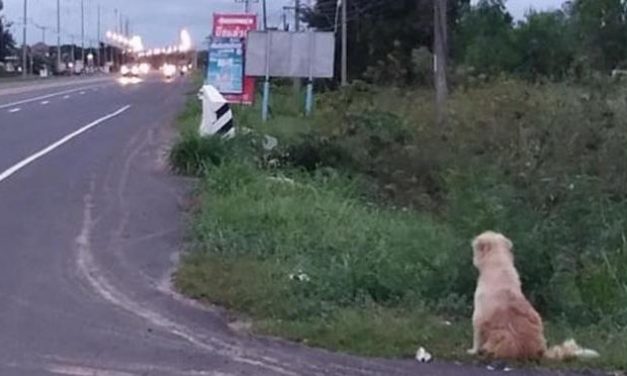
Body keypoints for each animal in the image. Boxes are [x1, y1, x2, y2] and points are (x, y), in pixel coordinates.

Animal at [468, 232, 600, 362]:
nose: (472, 240)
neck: (498, 263)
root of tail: (542, 352)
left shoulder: (479, 317)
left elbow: (476, 338)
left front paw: (472, 351)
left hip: (502, 337)